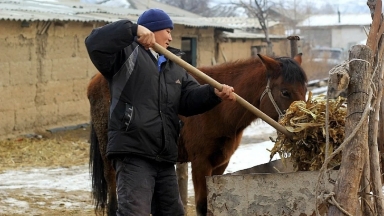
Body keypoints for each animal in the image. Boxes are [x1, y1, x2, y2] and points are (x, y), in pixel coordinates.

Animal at [86, 53, 306, 215]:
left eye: (305, 89)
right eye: (285, 92)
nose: (303, 132)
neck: (219, 111)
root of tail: (95, 81)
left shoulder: (220, 164)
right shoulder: (200, 163)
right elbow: (202, 205)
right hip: (110, 158)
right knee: (113, 196)